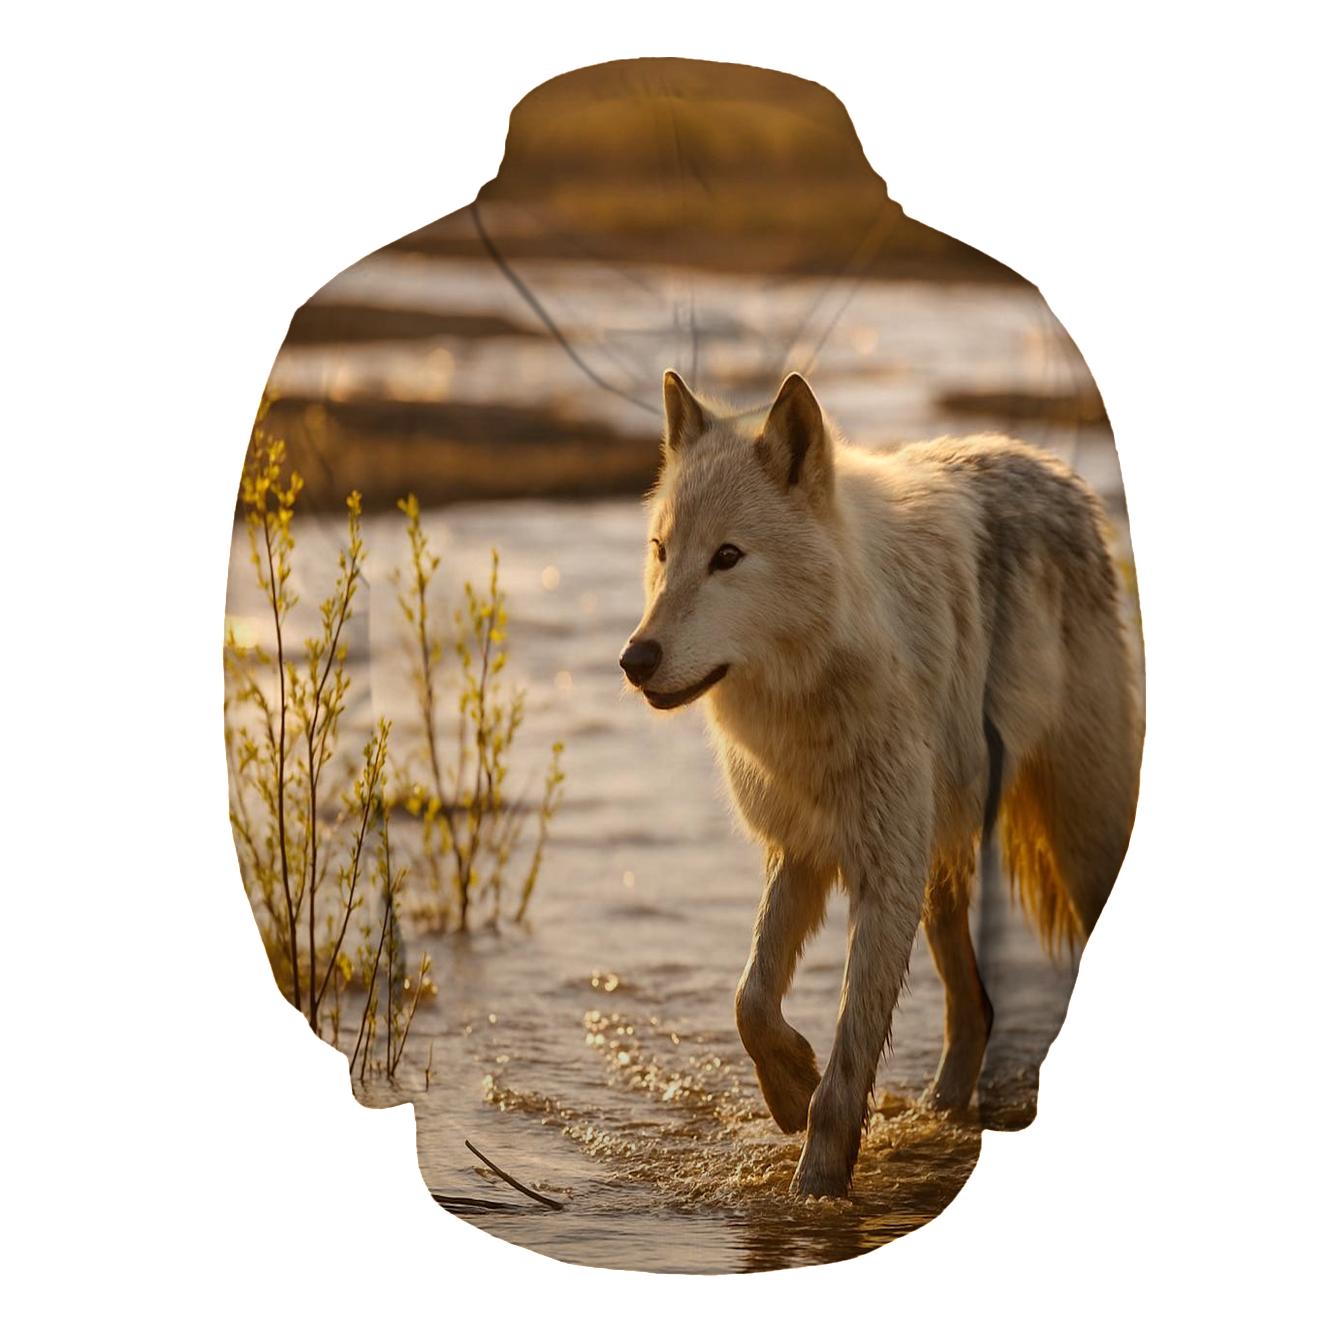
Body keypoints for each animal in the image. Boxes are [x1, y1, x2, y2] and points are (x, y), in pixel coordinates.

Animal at [619, 369, 1141, 1197]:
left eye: (727, 556)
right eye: (662, 551)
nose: (634, 659)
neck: (808, 691)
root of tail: (1046, 462)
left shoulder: (882, 871)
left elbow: (847, 1062)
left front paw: (815, 1186)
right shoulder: (800, 851)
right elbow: (749, 999)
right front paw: (789, 1087)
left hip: (1075, 840)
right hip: (937, 869)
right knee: (974, 1005)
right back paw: (942, 1110)